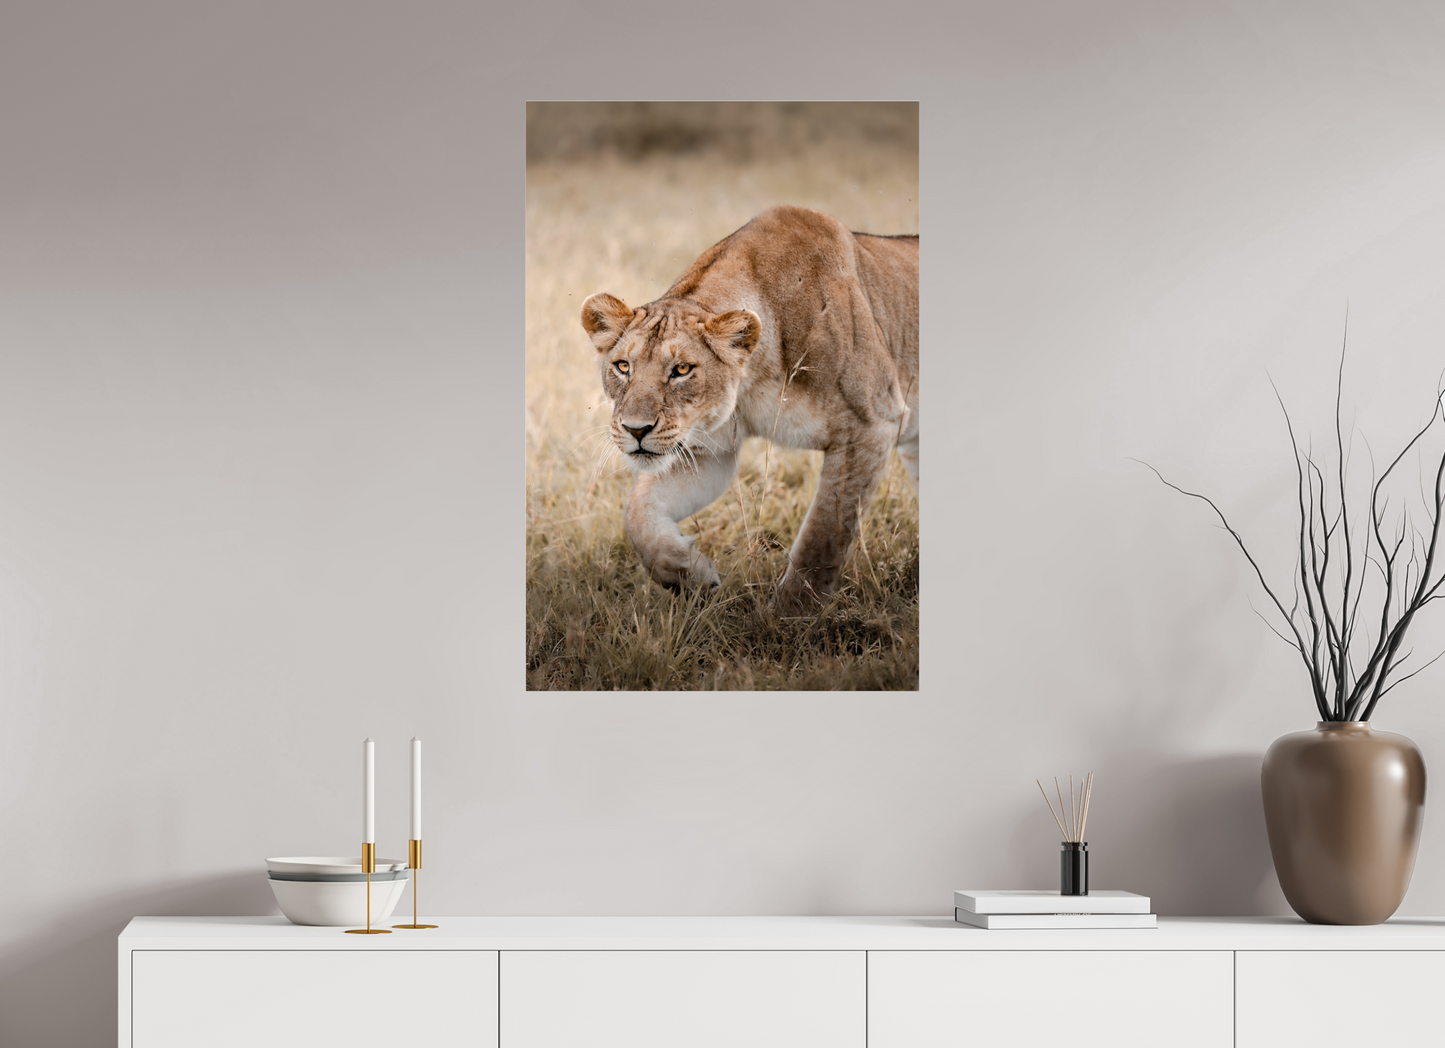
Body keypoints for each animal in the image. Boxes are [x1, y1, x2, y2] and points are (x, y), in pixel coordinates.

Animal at [580, 204, 918, 610]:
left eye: (682, 370)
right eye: (623, 366)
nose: (636, 430)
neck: (754, 379)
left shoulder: (872, 425)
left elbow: (823, 536)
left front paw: (790, 615)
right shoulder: (708, 450)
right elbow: (636, 513)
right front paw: (690, 575)